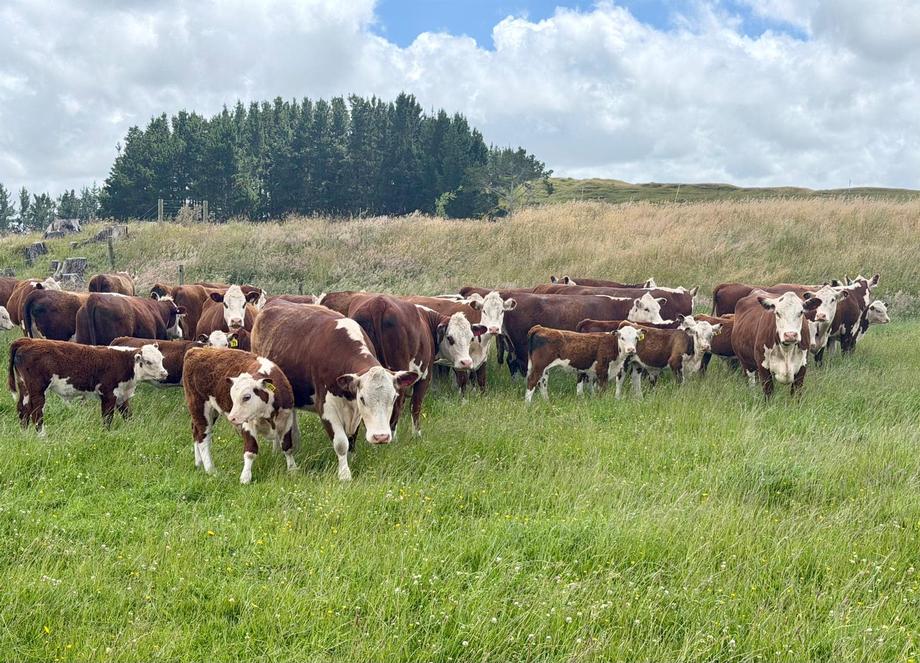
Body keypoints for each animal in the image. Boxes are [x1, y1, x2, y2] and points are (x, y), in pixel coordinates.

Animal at [7, 338, 167, 430]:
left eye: (161, 359)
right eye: (148, 361)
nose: (164, 373)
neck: (124, 362)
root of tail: (27, 341)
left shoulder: (122, 396)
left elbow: (128, 415)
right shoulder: (109, 394)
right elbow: (107, 418)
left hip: (24, 387)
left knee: (23, 409)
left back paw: (24, 433)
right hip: (37, 389)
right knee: (36, 412)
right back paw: (42, 436)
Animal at [182, 347, 298, 484]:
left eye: (247, 397)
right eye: (232, 397)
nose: (231, 418)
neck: (267, 414)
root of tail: (196, 350)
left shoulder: (287, 420)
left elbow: (287, 447)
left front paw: (292, 469)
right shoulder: (248, 424)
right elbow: (250, 451)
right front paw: (245, 477)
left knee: (195, 432)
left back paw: (198, 463)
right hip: (199, 407)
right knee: (202, 437)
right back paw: (211, 470)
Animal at [251, 301, 418, 481]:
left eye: (393, 398)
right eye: (363, 398)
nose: (381, 437)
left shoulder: (355, 411)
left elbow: (352, 440)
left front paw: (352, 460)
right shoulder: (326, 407)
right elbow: (341, 442)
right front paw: (344, 474)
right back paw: (283, 455)